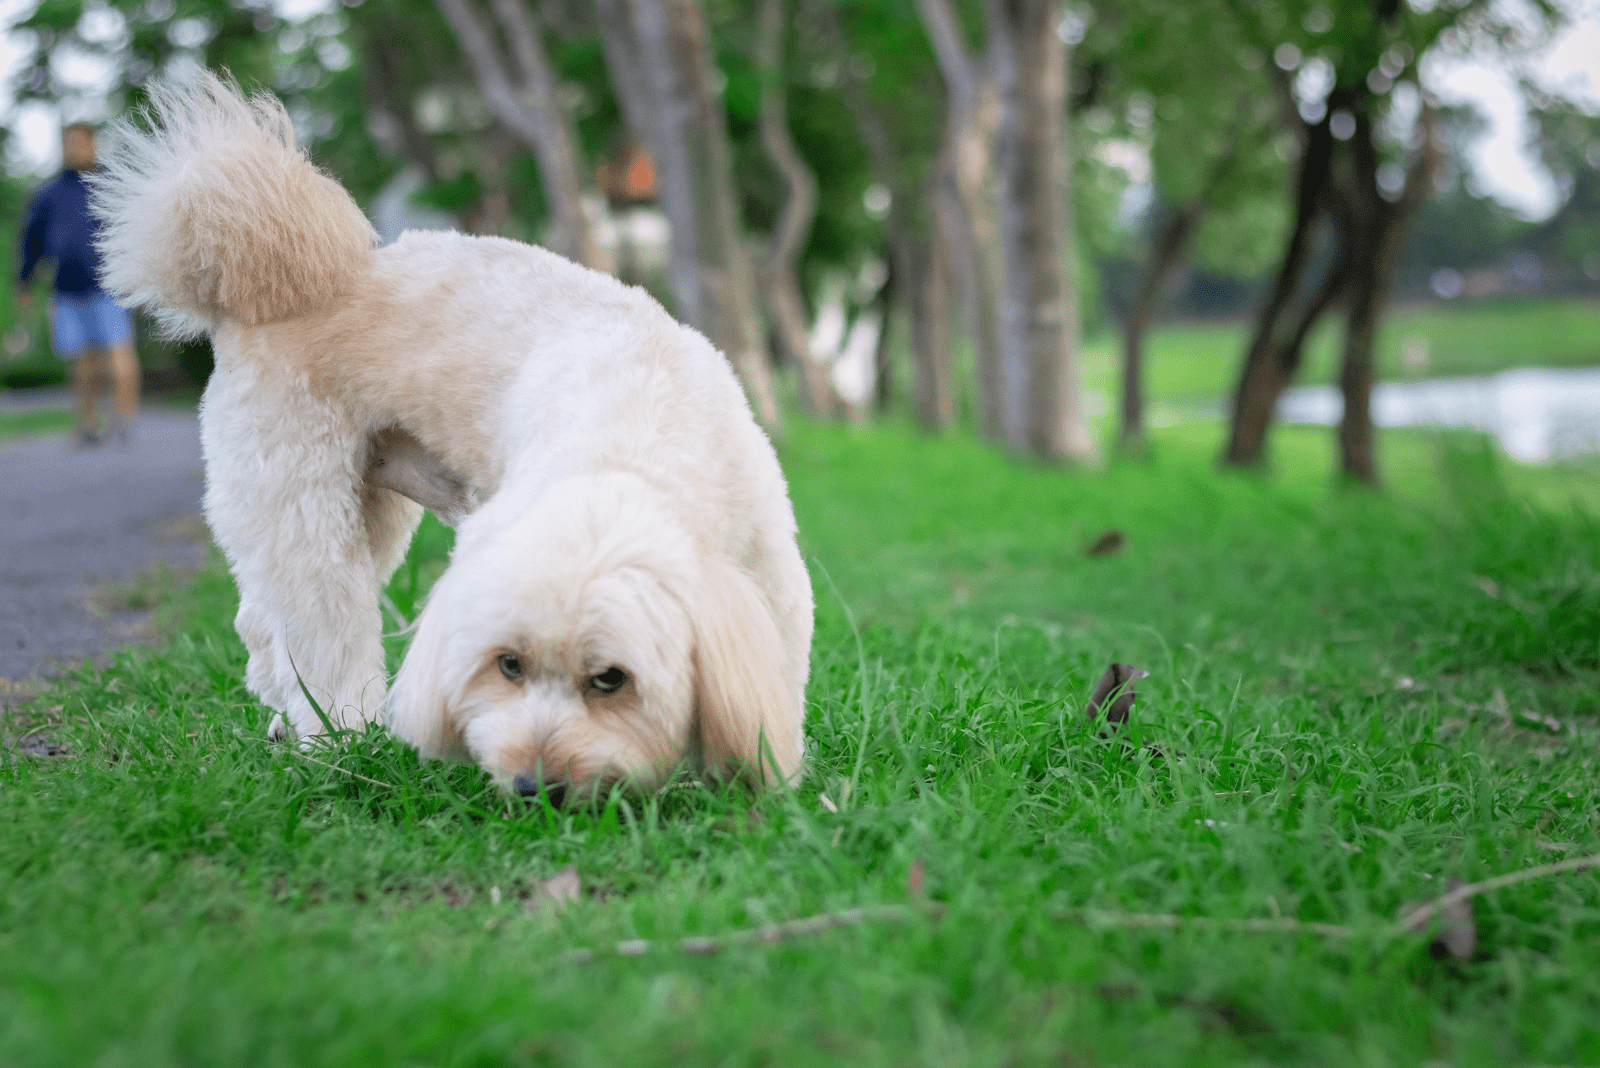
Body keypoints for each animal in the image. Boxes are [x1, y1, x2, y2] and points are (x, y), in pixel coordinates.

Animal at [89, 70, 812, 796]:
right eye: (507, 666)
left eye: (611, 680)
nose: (534, 785)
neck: (634, 435)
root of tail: (260, 297)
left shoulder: (770, 577)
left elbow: (776, 680)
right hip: (302, 503)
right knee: (322, 630)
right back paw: (337, 739)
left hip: (367, 511)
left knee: (263, 621)